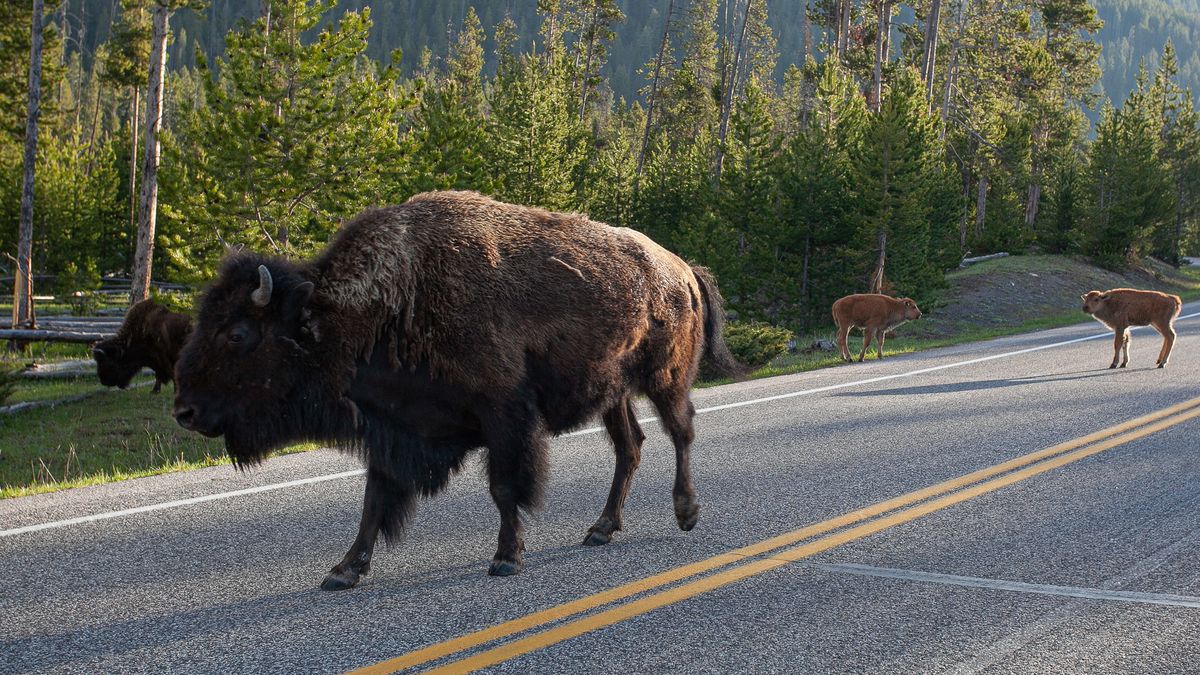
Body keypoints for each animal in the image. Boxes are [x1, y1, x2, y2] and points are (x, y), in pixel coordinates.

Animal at [174, 189, 744, 588]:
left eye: (237, 333)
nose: (185, 411)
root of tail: (681, 269)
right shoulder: (392, 430)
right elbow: (374, 501)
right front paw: (343, 571)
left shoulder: (505, 418)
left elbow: (504, 488)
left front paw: (506, 558)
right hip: (614, 392)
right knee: (631, 447)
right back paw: (601, 528)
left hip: (664, 378)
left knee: (680, 432)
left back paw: (686, 512)